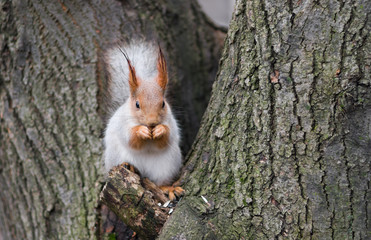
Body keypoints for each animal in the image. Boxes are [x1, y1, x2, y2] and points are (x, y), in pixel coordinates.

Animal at [103, 41, 185, 201]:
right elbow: (130, 138)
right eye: (137, 104)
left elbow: (167, 137)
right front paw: (141, 131)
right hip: (115, 156)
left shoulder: (171, 122)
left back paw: (168, 188)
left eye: (163, 103)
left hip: (167, 165)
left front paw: (160, 130)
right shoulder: (122, 124)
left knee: (160, 183)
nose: (152, 122)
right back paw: (130, 166)